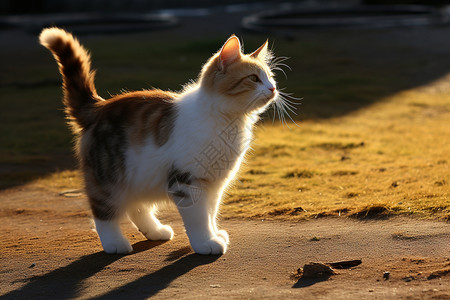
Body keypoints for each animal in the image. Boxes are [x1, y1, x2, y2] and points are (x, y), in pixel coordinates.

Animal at [40, 28, 290, 254]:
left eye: (270, 78)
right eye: (254, 79)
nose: (273, 88)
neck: (228, 123)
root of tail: (98, 106)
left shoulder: (213, 184)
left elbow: (210, 214)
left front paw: (214, 234)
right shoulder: (187, 181)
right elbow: (198, 218)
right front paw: (205, 243)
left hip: (138, 175)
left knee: (136, 207)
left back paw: (156, 231)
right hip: (108, 177)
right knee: (103, 213)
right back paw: (115, 243)